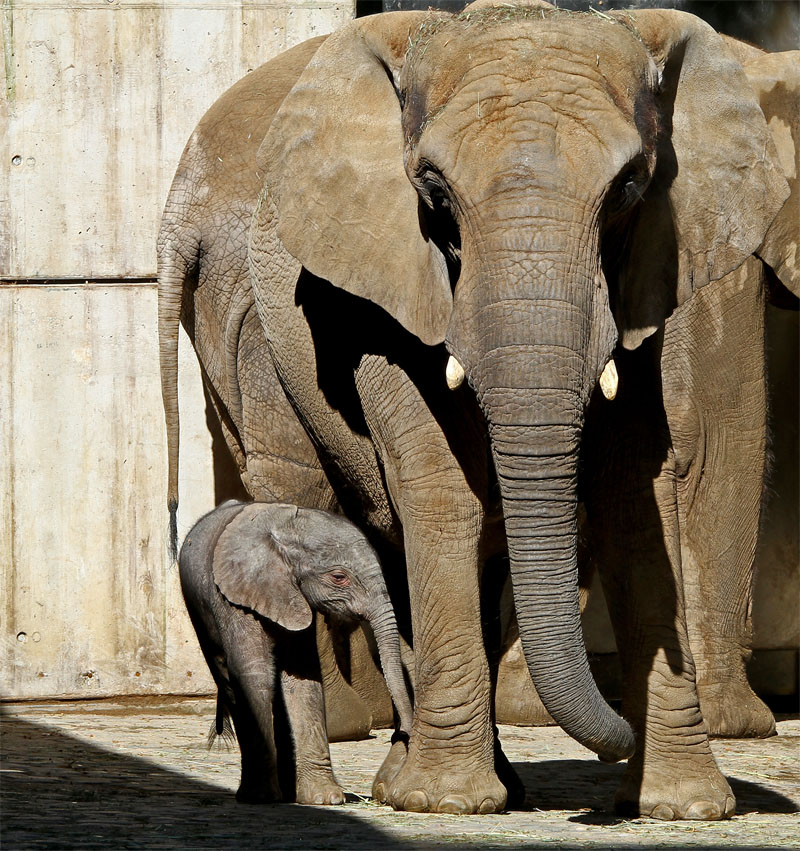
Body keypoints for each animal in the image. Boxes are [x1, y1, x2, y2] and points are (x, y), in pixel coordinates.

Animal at [180, 500, 412, 804]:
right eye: (339, 577)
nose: (401, 735)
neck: (286, 530)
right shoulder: (234, 597)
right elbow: (255, 674)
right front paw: (262, 798)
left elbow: (302, 676)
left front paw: (324, 799)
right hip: (199, 610)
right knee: (228, 680)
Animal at [252, 1, 792, 820]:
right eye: (433, 190)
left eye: (629, 186)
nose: (615, 740)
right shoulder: (386, 292)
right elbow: (442, 488)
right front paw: (445, 803)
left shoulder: (652, 271)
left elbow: (635, 492)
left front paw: (686, 806)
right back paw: (398, 786)